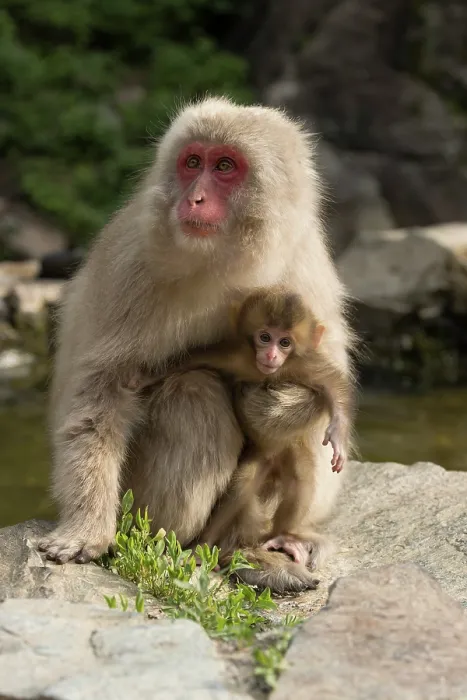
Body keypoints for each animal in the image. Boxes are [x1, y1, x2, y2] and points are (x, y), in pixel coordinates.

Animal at [38, 96, 356, 594]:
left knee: (300, 439)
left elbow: (325, 381)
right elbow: (103, 391)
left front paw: (280, 405)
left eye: (224, 166)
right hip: (137, 502)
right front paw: (86, 528)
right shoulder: (133, 266)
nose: (195, 198)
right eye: (192, 163)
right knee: (193, 393)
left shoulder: (305, 266)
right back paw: (189, 546)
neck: (228, 261)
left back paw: (268, 546)